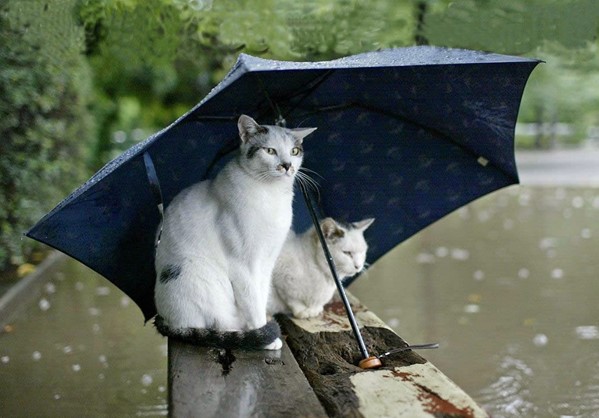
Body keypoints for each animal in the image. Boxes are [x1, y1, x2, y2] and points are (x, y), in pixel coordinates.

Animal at [152, 115, 316, 350]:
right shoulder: (243, 266)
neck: (271, 195)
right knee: (215, 325)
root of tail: (165, 318)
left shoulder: (267, 262)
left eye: (294, 151)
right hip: (200, 275)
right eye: (270, 151)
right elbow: (252, 302)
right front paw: (265, 337)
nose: (287, 165)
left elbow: (261, 296)